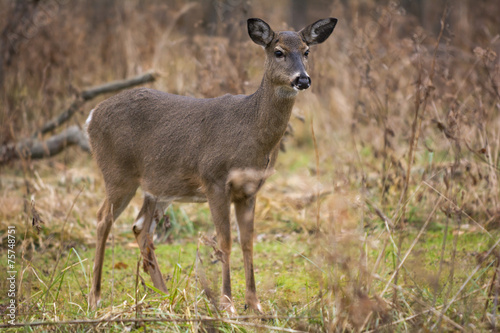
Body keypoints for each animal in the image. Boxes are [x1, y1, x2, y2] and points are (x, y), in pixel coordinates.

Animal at [88, 16, 338, 312]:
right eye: (279, 52)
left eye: (306, 51)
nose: (303, 79)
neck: (251, 130)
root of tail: (91, 117)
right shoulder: (214, 180)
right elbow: (225, 241)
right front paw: (228, 303)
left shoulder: (250, 189)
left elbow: (247, 242)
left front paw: (254, 304)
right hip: (117, 173)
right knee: (103, 219)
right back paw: (95, 297)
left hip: (159, 186)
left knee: (140, 227)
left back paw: (164, 294)